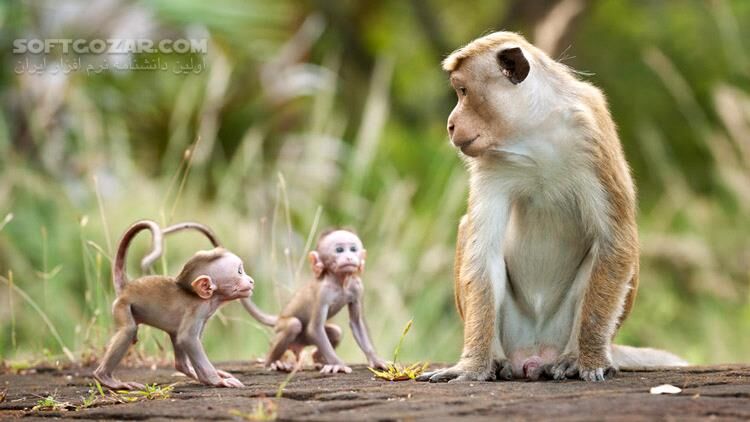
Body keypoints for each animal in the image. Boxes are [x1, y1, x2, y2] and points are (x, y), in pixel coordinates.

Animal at [93, 220, 255, 389]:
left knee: (175, 341)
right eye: (240, 271)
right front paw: (217, 381)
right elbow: (187, 339)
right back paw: (105, 378)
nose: (251, 281)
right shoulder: (197, 310)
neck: (210, 298)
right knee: (129, 330)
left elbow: (183, 338)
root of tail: (126, 287)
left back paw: (187, 369)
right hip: (122, 306)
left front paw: (207, 377)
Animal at [241, 229, 388, 374]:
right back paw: (272, 362)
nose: (349, 257)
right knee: (293, 325)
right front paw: (338, 364)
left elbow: (356, 323)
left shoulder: (357, 287)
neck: (339, 282)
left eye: (353, 249)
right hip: (281, 328)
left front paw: (376, 360)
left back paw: (318, 359)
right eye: (339, 250)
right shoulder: (323, 293)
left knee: (336, 332)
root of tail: (279, 317)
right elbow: (315, 328)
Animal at [417, 32, 686, 383]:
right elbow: (483, 252)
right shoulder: (491, 163)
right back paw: (497, 360)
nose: (450, 124)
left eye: (463, 91)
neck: (534, 132)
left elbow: (616, 240)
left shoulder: (592, 134)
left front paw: (589, 359)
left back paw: (573, 356)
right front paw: (472, 366)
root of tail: (534, 355)